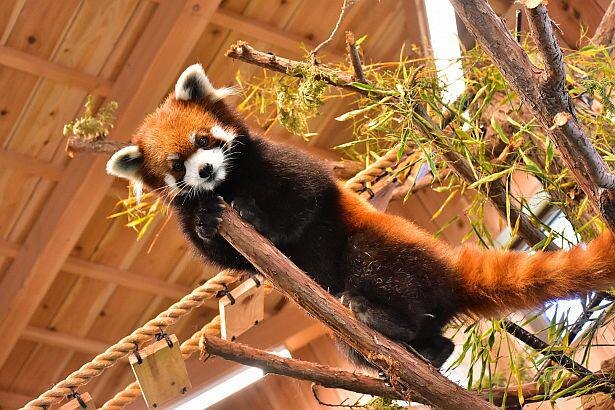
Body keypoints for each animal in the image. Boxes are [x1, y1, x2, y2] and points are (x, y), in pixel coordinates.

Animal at [106, 64, 615, 368]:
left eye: (204, 141)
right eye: (178, 166)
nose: (207, 170)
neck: (231, 183)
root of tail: (449, 270)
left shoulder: (281, 165)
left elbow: (305, 198)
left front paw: (258, 220)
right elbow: (229, 258)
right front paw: (208, 221)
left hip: (386, 250)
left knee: (373, 268)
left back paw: (379, 316)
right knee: (394, 340)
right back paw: (426, 351)